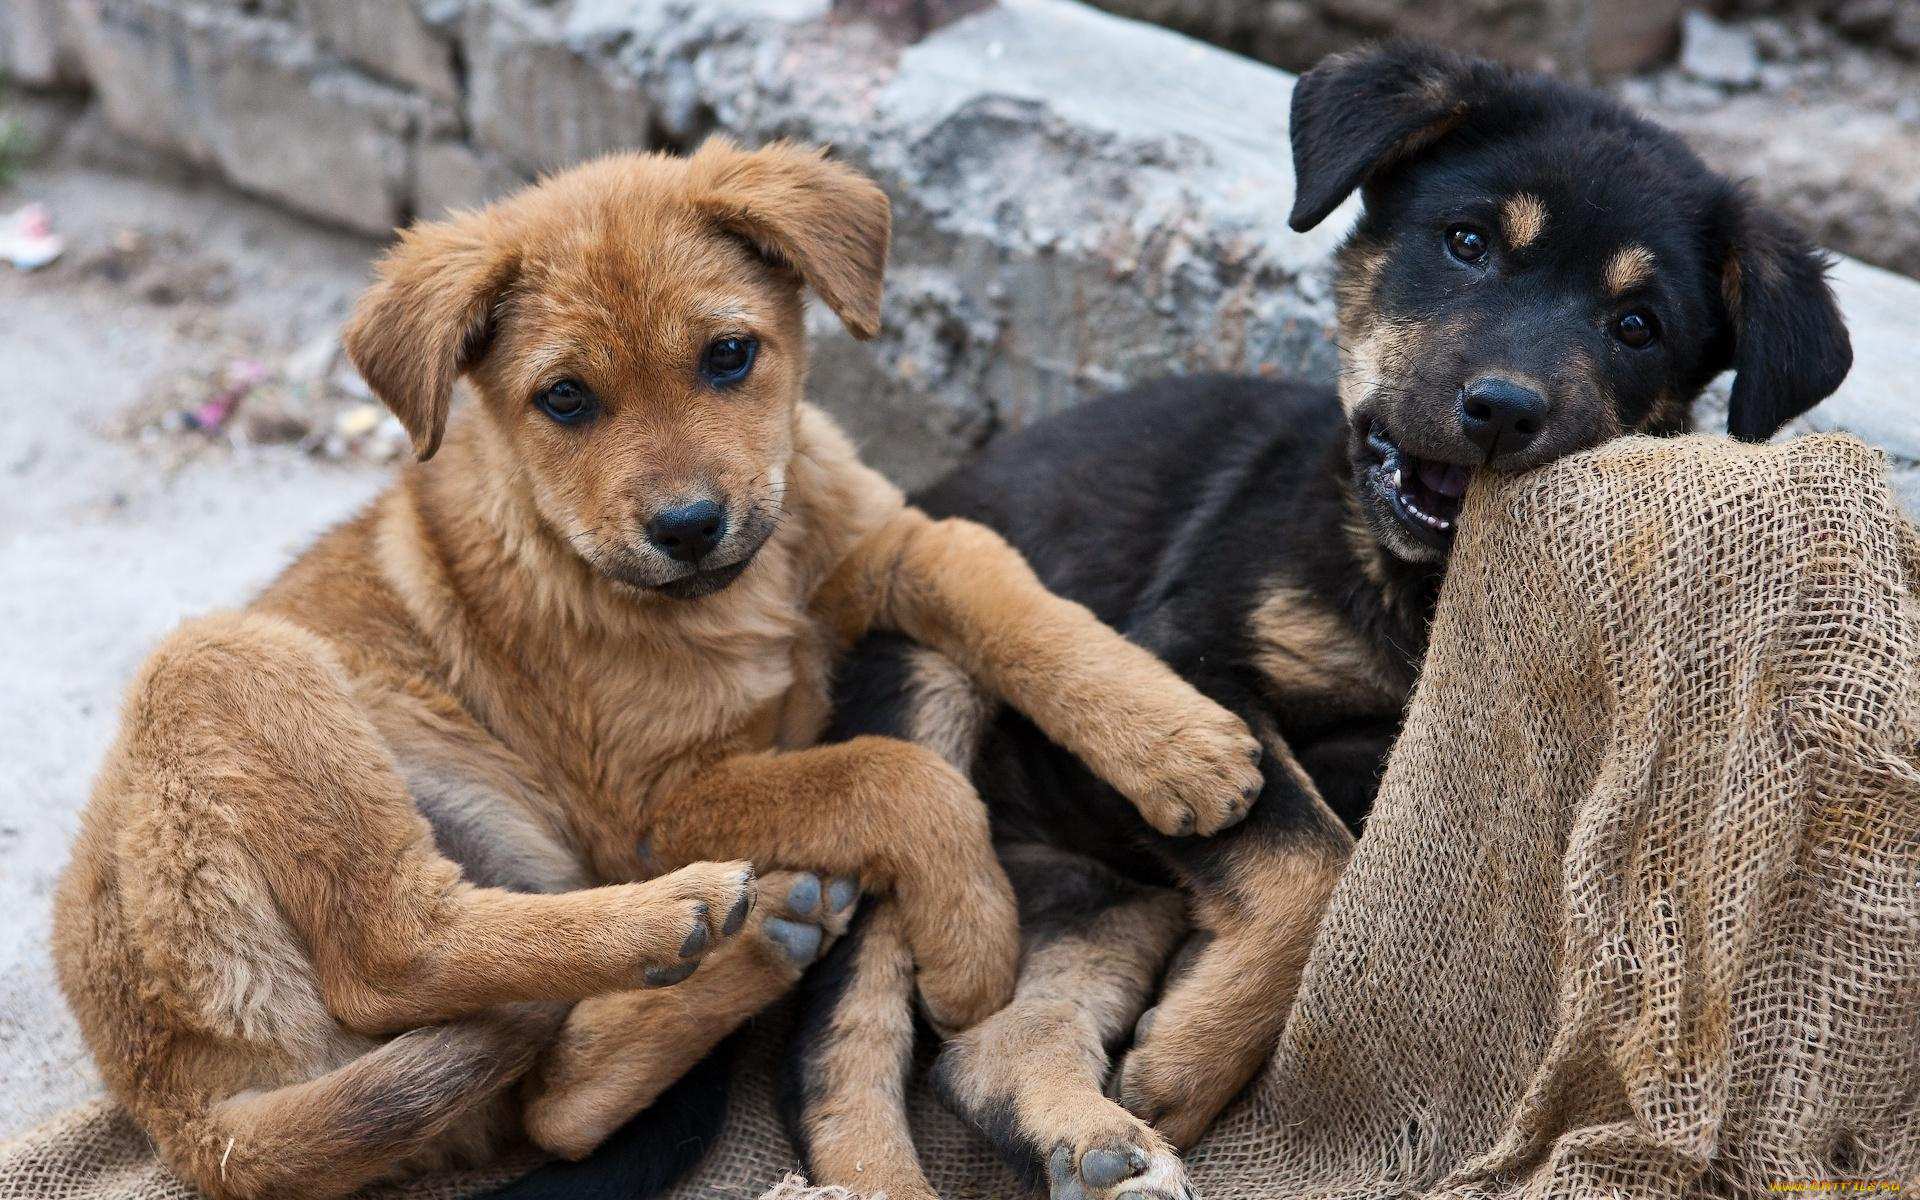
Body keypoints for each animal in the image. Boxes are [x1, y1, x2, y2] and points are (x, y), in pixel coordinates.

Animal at [52, 140, 1259, 1198]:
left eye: (729, 355)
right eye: (565, 399)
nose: (689, 528)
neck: (733, 598)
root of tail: (186, 1119)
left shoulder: (887, 544)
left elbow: (1006, 591)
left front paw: (1179, 744)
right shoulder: (645, 808)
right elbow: (895, 771)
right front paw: (973, 945)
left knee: (549, 1105)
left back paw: (759, 940)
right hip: (229, 659)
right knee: (398, 947)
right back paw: (682, 918)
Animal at [760, 37, 1843, 1198]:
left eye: (1637, 326)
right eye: (1466, 243)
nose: (1502, 410)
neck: (1416, 589)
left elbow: (1344, 858)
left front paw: (1182, 1062)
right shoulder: (1188, 666)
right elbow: (1314, 862)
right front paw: (1199, 1059)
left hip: (1104, 890)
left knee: (985, 1043)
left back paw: (1102, 1145)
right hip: (926, 715)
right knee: (842, 1031)